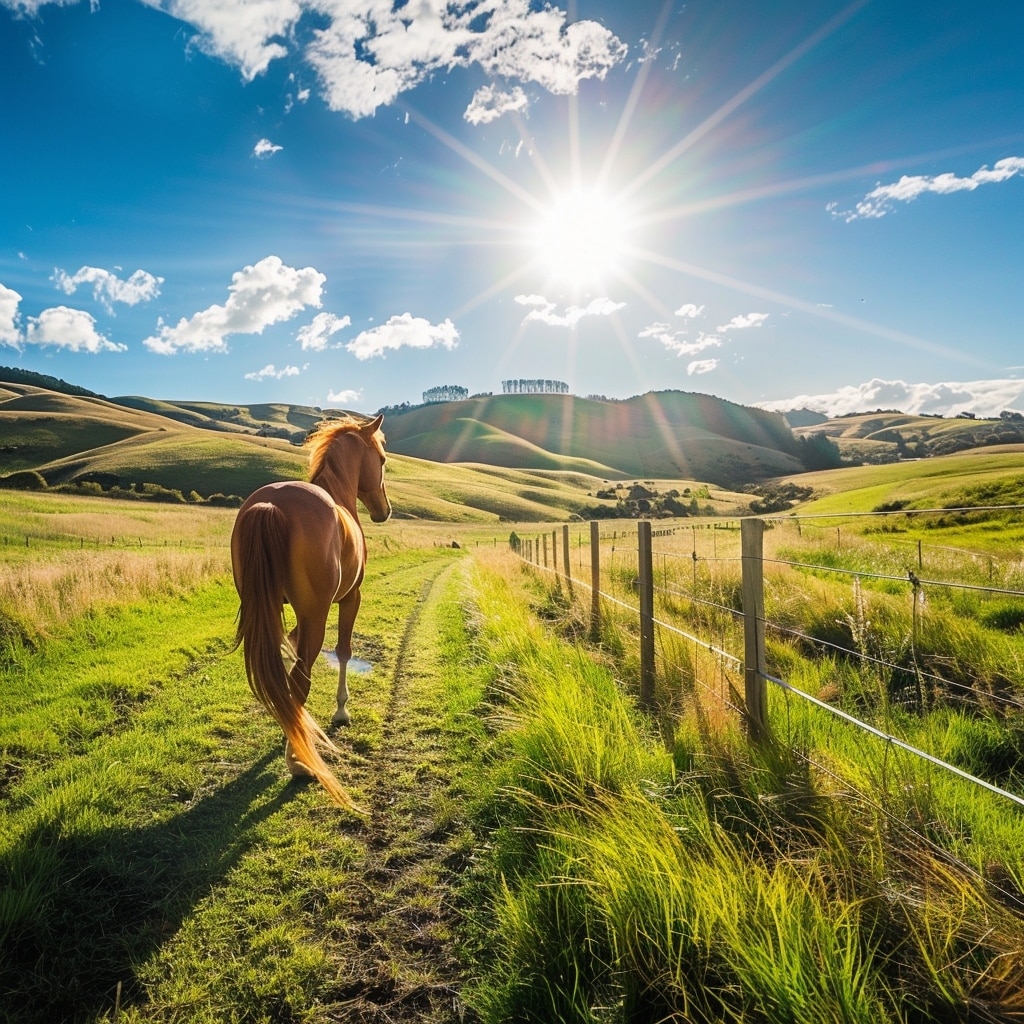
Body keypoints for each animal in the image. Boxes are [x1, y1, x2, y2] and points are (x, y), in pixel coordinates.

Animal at [230, 413, 389, 806]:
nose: (384, 510)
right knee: (300, 678)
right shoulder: (350, 599)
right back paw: (300, 763)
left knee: (284, 678)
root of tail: (272, 504)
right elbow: (345, 651)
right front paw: (341, 710)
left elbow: (289, 650)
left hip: (268, 609)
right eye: (382, 460)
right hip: (316, 615)